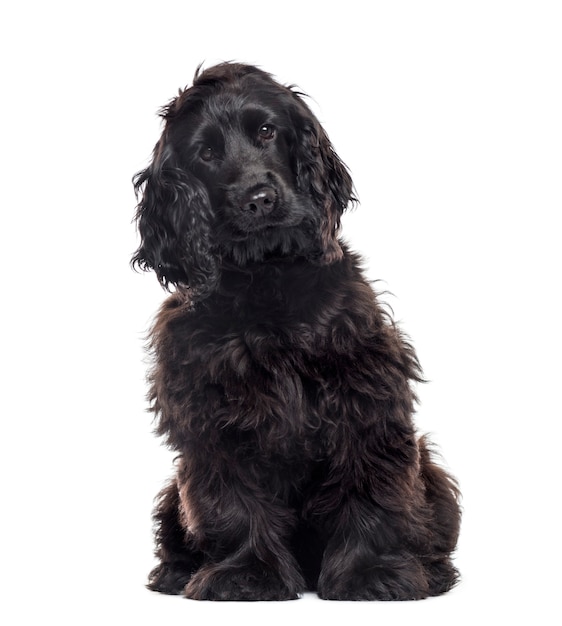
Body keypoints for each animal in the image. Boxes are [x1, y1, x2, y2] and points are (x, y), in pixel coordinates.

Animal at [131, 63, 460, 600]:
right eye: (206, 153)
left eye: (267, 130)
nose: (259, 199)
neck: (267, 276)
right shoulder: (214, 412)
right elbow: (232, 503)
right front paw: (247, 573)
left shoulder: (363, 394)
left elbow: (370, 489)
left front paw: (369, 573)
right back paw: (177, 573)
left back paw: (430, 571)